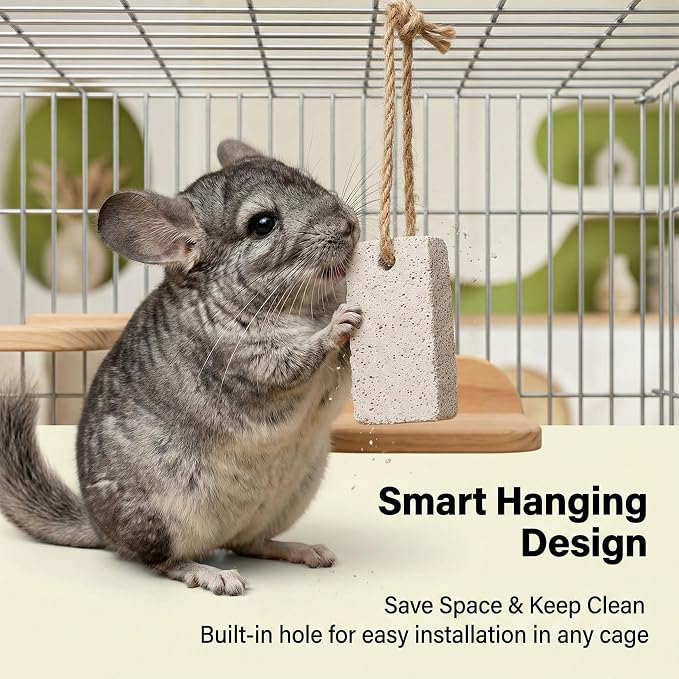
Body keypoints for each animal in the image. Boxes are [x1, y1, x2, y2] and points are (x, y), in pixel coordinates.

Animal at [0, 139, 362, 596]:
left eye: (308, 179)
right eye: (262, 224)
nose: (349, 225)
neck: (305, 306)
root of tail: (101, 531)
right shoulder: (249, 363)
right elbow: (296, 361)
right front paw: (343, 321)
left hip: (290, 496)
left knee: (249, 543)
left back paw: (304, 550)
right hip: (163, 519)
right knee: (162, 561)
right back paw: (212, 574)